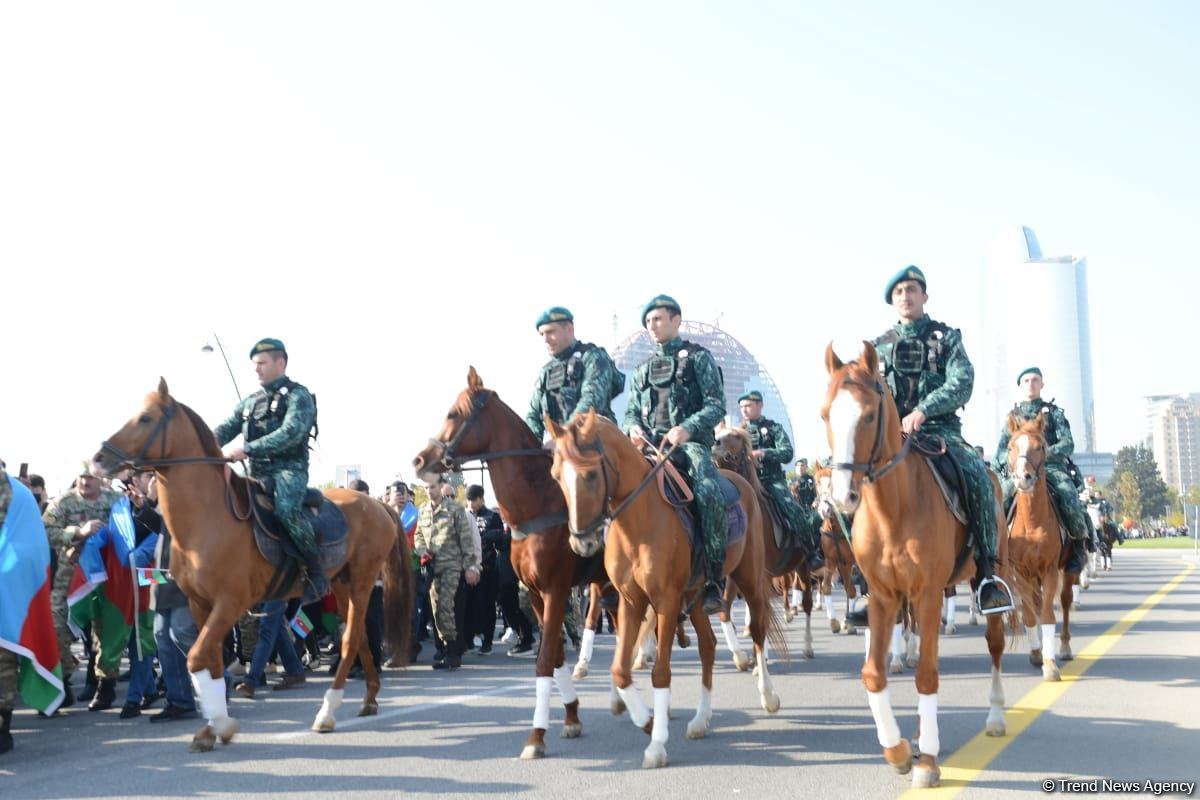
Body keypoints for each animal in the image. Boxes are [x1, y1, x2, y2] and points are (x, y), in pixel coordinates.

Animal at [92, 381, 412, 753]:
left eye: (145, 418)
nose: (99, 459)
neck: (206, 520)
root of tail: (376, 504)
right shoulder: (201, 605)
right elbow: (211, 661)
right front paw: (212, 728)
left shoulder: (230, 603)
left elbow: (195, 657)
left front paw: (220, 723)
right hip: (342, 583)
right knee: (357, 636)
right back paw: (369, 699)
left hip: (362, 581)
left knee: (348, 641)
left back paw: (327, 713)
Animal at [417, 367, 609, 758]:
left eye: (453, 413)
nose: (419, 459)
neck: (539, 504)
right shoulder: (534, 592)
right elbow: (554, 656)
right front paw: (571, 716)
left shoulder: (556, 589)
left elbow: (544, 657)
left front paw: (536, 736)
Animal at [549, 412, 782, 767]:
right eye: (556, 476)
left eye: (589, 475)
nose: (582, 541)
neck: (638, 521)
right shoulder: (631, 601)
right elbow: (619, 669)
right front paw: (645, 719)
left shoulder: (666, 601)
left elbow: (660, 672)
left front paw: (656, 743)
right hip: (697, 596)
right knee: (708, 647)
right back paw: (700, 719)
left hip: (749, 579)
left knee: (757, 631)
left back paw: (767, 694)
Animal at [820, 345, 1008, 786]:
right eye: (825, 414)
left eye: (869, 415)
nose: (842, 496)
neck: (895, 508)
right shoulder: (884, 597)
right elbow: (874, 673)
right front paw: (899, 750)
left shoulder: (925, 593)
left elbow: (927, 675)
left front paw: (927, 763)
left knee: (994, 645)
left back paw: (993, 717)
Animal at [1003, 412, 1080, 681]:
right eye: (1010, 447)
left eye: (1041, 447)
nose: (1023, 478)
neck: (1032, 522)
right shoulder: (1020, 572)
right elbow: (1029, 614)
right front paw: (1037, 653)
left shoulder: (1049, 570)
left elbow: (1048, 614)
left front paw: (1050, 664)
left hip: (1067, 569)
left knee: (1065, 601)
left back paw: (1065, 647)